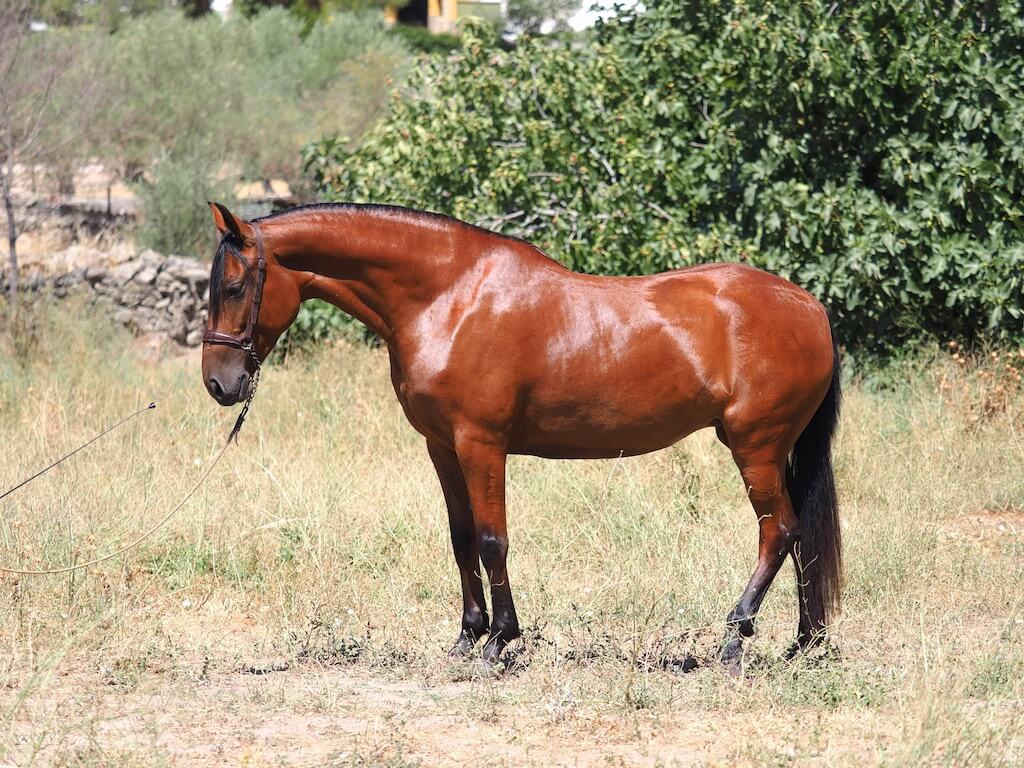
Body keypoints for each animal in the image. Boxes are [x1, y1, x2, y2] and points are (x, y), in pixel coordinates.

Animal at [200, 201, 842, 672]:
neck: (448, 296)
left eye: (233, 288)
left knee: (779, 532)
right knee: (799, 538)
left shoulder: (480, 444)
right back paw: (803, 642)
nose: (219, 383)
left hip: (756, 447)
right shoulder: (442, 446)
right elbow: (461, 539)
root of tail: (812, 308)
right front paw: (466, 637)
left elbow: (492, 540)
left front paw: (499, 643)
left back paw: (734, 640)